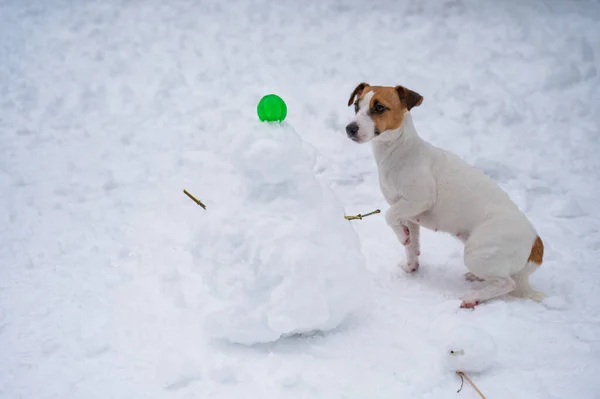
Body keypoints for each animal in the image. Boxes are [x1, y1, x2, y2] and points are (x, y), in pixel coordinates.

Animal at [344, 83, 548, 310]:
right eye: (356, 106)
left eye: (379, 107)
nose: (350, 128)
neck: (398, 149)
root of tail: (535, 243)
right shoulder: (409, 214)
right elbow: (411, 245)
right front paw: (410, 263)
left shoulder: (418, 200)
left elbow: (389, 216)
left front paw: (402, 236)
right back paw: (478, 279)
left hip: (477, 251)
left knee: (507, 283)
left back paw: (473, 297)